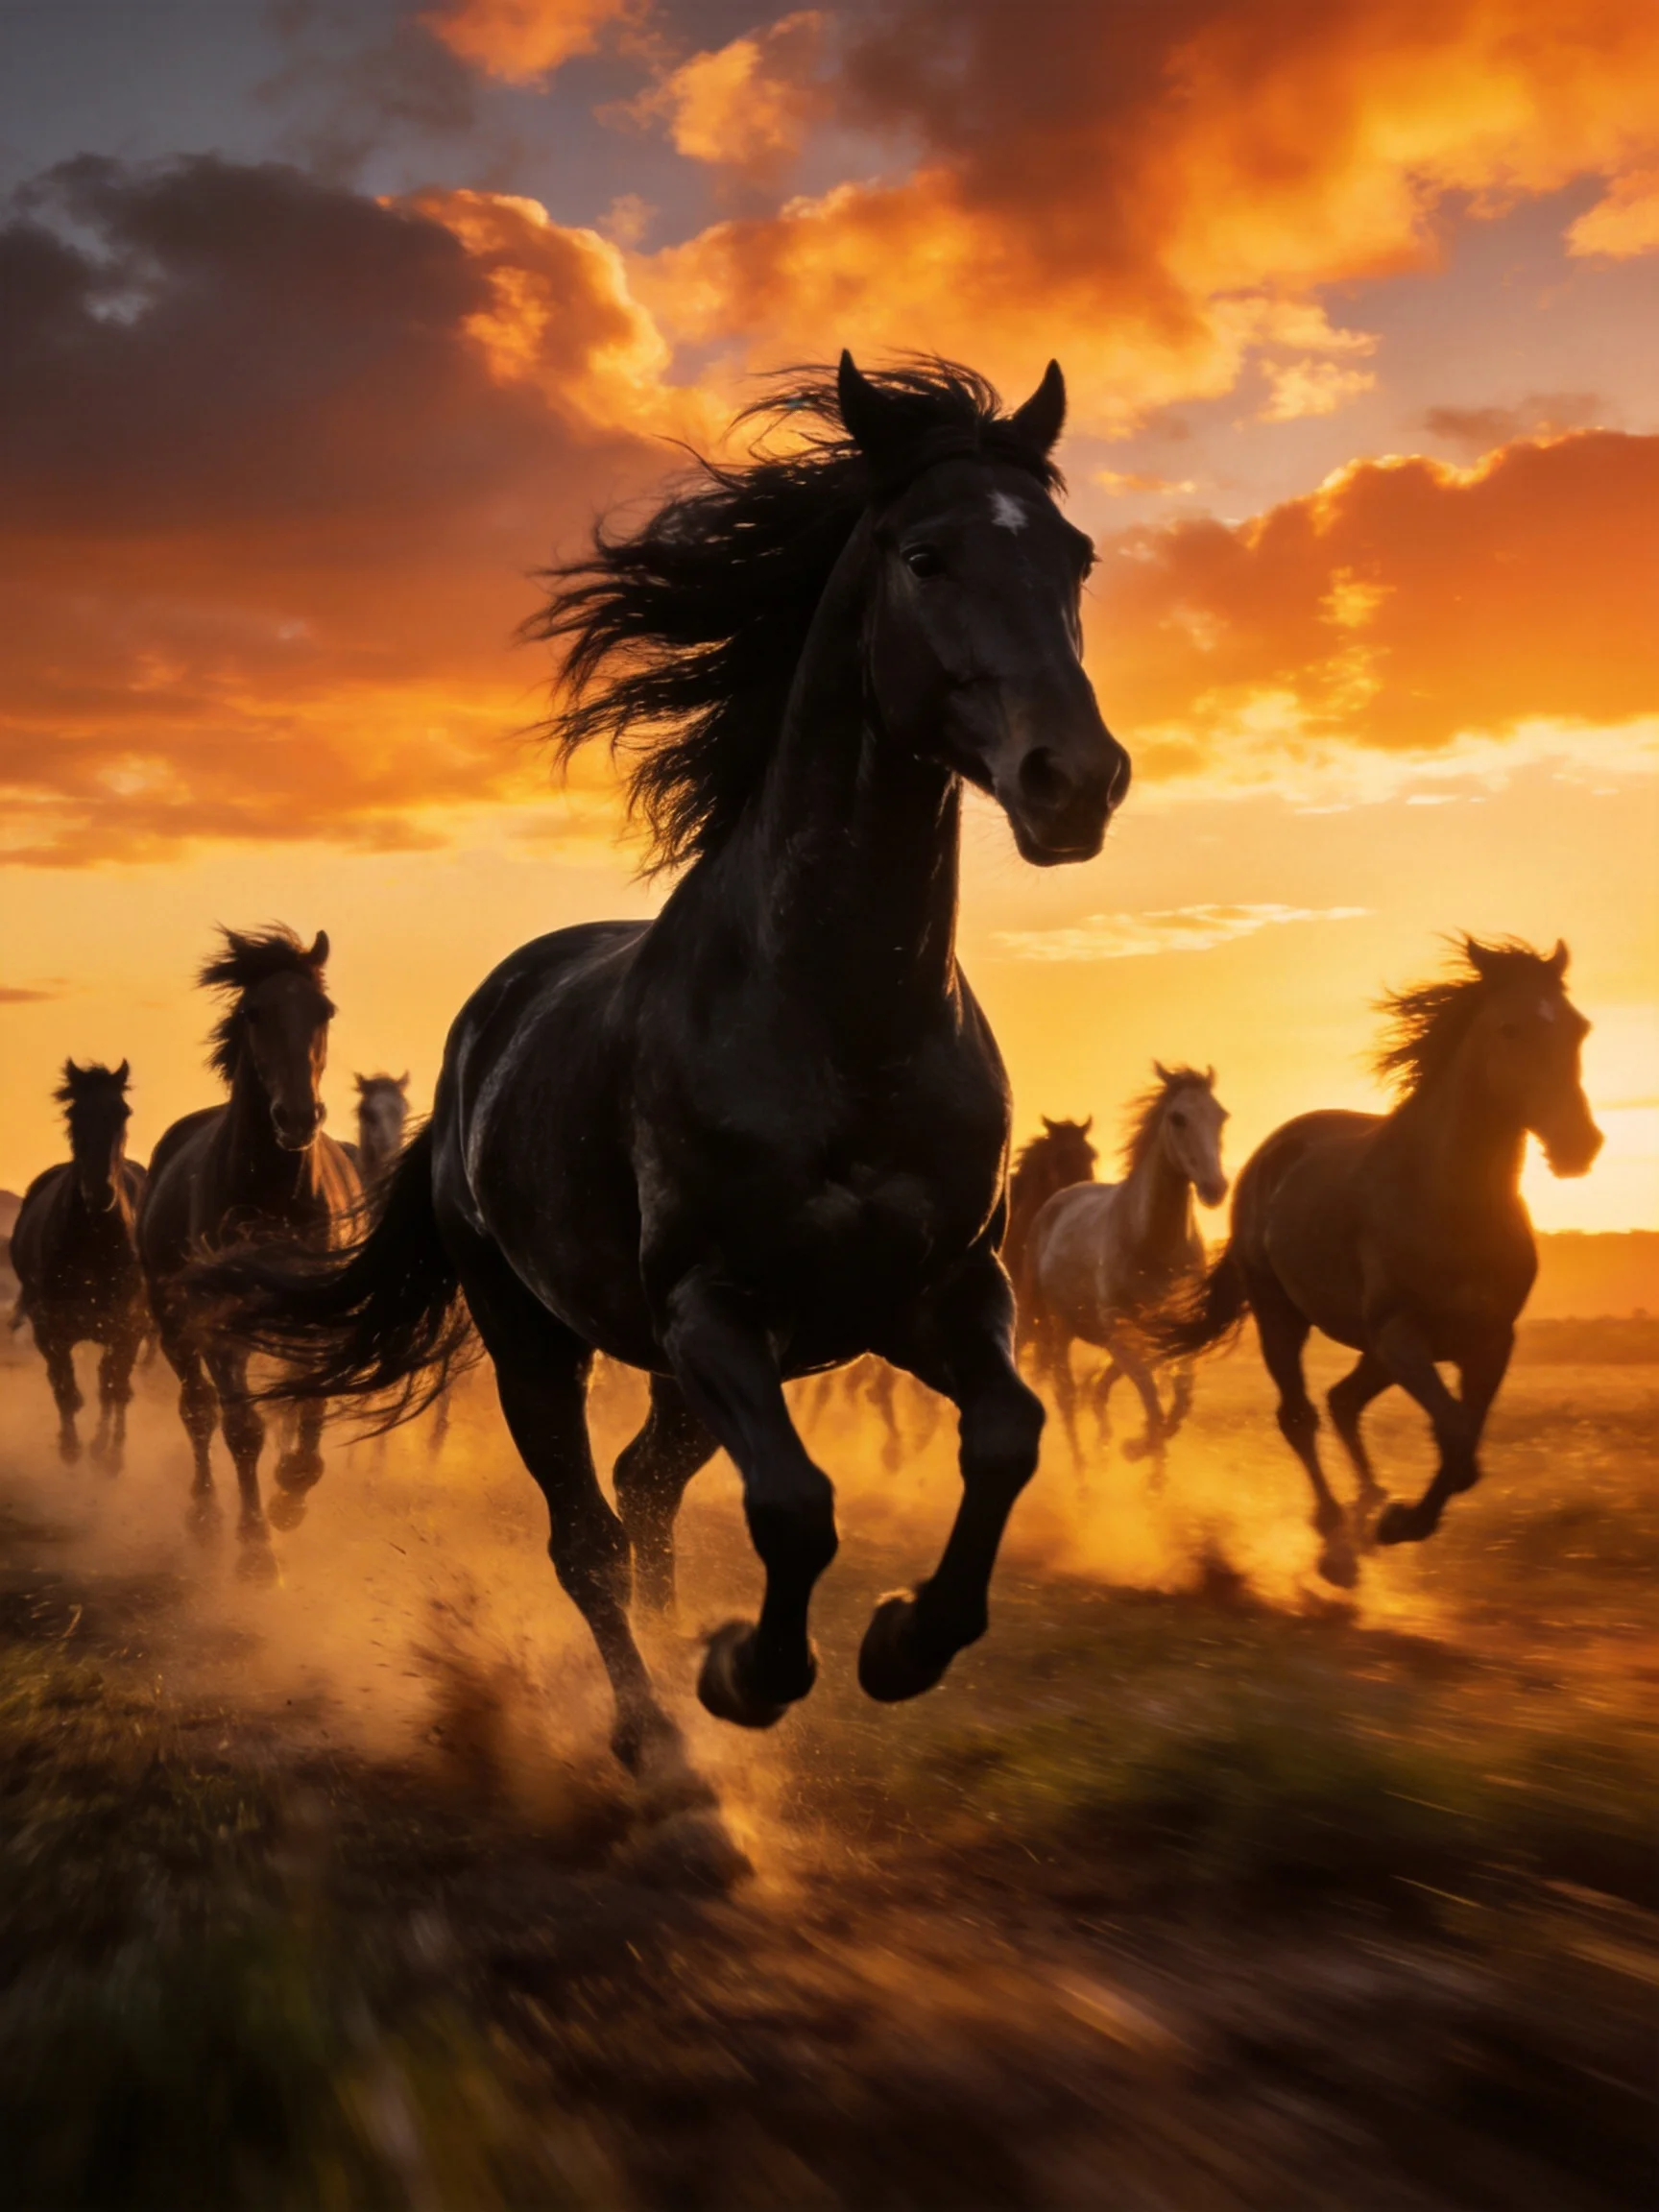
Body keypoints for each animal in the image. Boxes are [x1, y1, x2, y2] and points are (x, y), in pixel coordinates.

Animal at [9, 1061, 148, 1468]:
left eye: (122, 1112)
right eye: (74, 1113)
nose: (100, 1193)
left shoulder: (127, 1327)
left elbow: (114, 1387)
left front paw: (110, 1454)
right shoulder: (49, 1327)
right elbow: (65, 1387)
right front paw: (70, 1447)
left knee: (112, 1384)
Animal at [138, 927, 361, 1569]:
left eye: (324, 1011)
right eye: (253, 1012)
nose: (298, 1117)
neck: (274, 1195)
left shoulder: (318, 1324)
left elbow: (309, 1405)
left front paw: (292, 1492)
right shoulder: (220, 1327)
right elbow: (242, 1428)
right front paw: (257, 1547)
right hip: (173, 1323)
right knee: (198, 1410)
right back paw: (207, 1517)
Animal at [1024, 1066, 1229, 1477]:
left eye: (1220, 1116)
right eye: (1178, 1117)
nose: (1216, 1189)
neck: (1150, 1241)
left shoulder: (1174, 1335)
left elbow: (1179, 1401)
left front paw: (1138, 1455)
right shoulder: (1122, 1334)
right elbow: (1153, 1402)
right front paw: (1142, 1459)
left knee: (1094, 1389)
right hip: (1056, 1327)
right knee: (1066, 1396)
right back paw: (1083, 1477)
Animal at [1154, 938, 1600, 1587]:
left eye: (1578, 1027)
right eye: (1509, 1028)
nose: (1578, 1145)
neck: (1453, 1200)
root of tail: (1275, 1149)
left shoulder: (1489, 1341)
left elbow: (1463, 1443)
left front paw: (1393, 1522)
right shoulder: (1400, 1334)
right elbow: (1455, 1436)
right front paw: (1396, 1524)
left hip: (1375, 1349)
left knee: (1342, 1401)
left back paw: (1363, 1516)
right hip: (1284, 1317)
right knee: (1301, 1416)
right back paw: (1336, 1542)